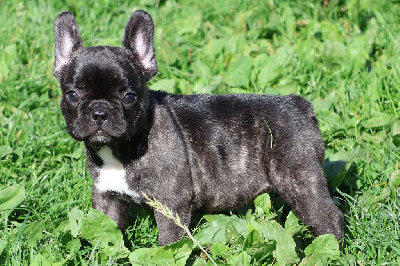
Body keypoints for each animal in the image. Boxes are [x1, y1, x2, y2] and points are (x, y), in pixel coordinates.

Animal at [53, 9, 344, 245]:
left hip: (299, 179)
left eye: (129, 97)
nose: (99, 112)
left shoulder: (171, 205)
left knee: (328, 217)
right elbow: (105, 235)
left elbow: (169, 244)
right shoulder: (107, 199)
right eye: (72, 95)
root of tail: (300, 105)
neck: (120, 150)